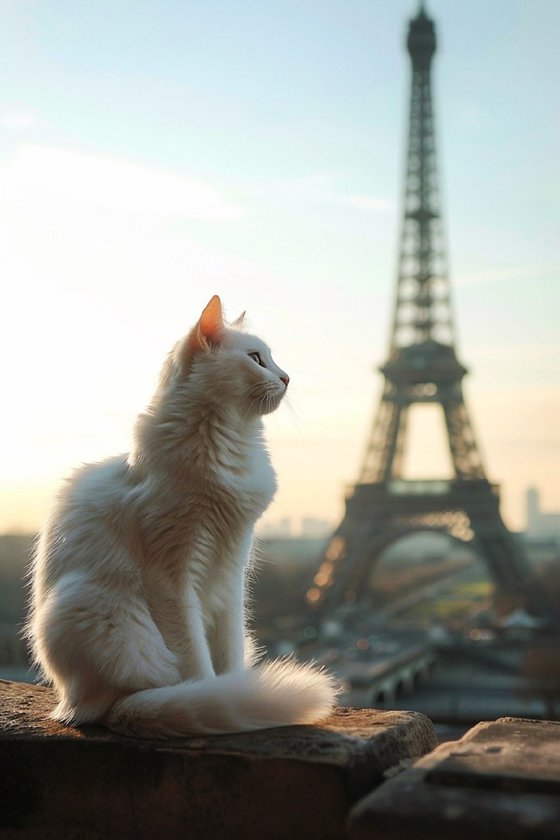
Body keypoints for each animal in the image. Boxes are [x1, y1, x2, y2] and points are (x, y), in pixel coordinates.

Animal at [28, 296, 336, 736]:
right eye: (256, 358)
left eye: (272, 359)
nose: (286, 377)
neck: (228, 441)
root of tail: (72, 700)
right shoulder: (171, 575)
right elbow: (194, 658)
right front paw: (212, 695)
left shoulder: (231, 572)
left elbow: (228, 655)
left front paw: (236, 692)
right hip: (92, 605)